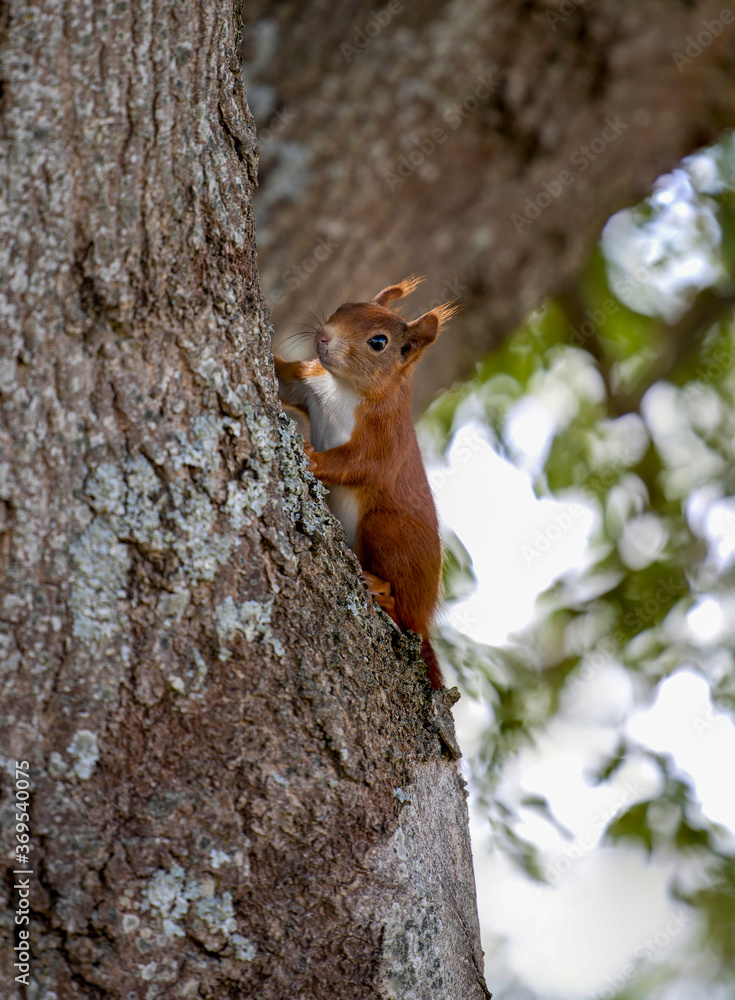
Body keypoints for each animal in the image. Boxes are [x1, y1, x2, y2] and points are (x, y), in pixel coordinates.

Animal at [273, 276, 457, 689]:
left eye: (378, 342)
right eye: (344, 308)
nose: (323, 336)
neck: (343, 388)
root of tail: (425, 619)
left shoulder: (384, 439)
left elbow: (357, 464)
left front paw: (310, 455)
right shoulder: (310, 384)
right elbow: (284, 380)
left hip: (386, 530)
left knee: (403, 612)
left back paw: (382, 592)